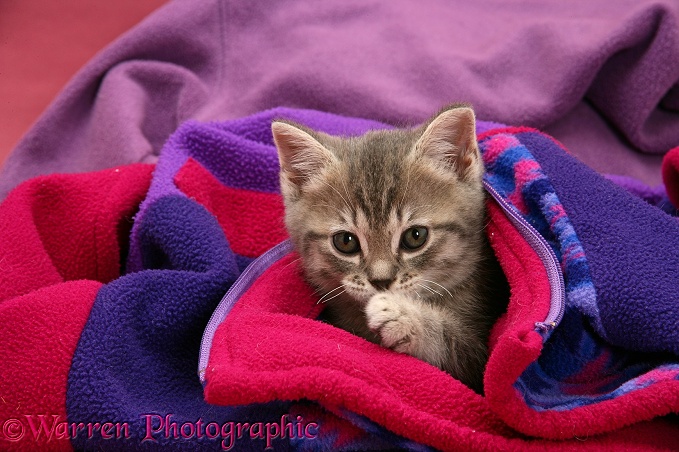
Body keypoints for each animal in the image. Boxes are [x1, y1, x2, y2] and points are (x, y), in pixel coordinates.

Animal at [270, 105, 510, 392]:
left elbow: (453, 346)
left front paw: (405, 316)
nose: (381, 281)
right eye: (345, 242)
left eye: (415, 236)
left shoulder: (479, 361)